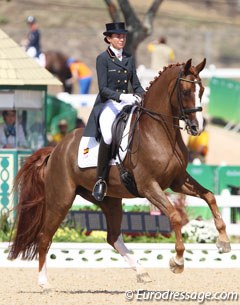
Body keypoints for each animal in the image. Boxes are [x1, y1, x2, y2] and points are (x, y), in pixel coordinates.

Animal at [8, 58, 231, 288]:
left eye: (202, 90)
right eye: (186, 91)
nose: (197, 128)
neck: (159, 132)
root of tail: (55, 150)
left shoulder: (177, 181)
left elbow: (210, 196)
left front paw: (223, 242)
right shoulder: (149, 186)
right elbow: (175, 216)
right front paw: (177, 261)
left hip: (109, 200)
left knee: (113, 237)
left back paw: (142, 271)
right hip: (61, 199)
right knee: (44, 236)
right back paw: (43, 282)